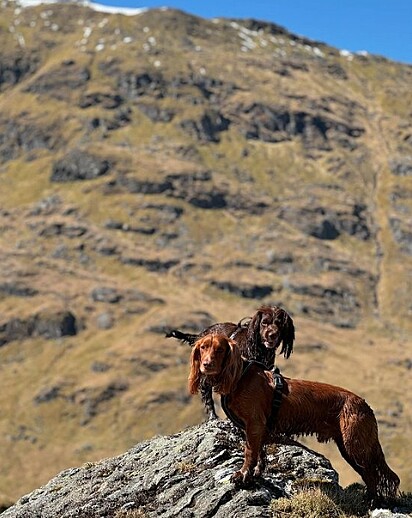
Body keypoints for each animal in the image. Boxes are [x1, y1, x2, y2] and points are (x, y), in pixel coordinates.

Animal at [189, 336, 400, 506]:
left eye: (220, 349)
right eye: (203, 347)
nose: (206, 364)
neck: (239, 377)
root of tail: (364, 404)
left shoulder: (254, 424)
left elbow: (249, 453)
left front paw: (242, 476)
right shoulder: (258, 429)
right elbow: (260, 454)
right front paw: (255, 474)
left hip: (355, 445)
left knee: (371, 474)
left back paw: (372, 501)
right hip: (349, 448)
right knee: (367, 473)